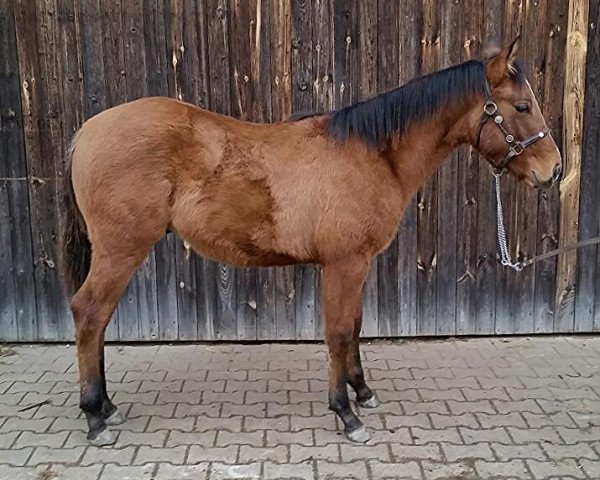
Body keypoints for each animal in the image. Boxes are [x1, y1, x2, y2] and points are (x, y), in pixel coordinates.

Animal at [61, 37, 564, 446]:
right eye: (522, 107)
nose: (554, 170)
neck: (372, 154)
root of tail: (87, 131)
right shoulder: (344, 263)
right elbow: (338, 332)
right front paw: (346, 414)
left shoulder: (358, 264)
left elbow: (355, 326)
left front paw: (362, 392)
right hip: (122, 250)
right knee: (90, 314)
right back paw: (95, 417)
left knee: (98, 321)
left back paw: (106, 407)